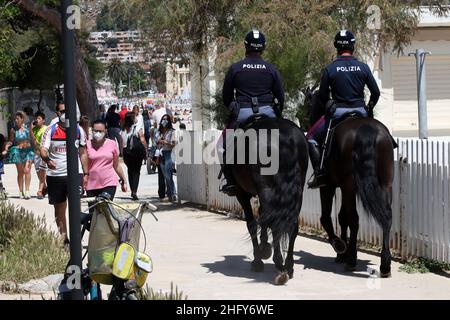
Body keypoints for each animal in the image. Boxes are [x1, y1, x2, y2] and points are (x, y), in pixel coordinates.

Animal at [229, 117, 310, 284]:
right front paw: (264, 245)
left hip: (266, 188)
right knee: (292, 225)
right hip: (297, 191)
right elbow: (263, 217)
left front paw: (258, 259)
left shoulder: (242, 194)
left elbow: (252, 224)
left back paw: (279, 266)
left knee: (274, 223)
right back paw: (289, 266)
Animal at [308, 90, 396, 278]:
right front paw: (342, 252)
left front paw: (340, 247)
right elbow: (342, 217)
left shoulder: (329, 186)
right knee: (386, 217)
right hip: (385, 185)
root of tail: (366, 129)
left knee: (354, 219)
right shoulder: (346, 188)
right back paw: (385, 264)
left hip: (347, 186)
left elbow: (327, 217)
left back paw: (351, 260)